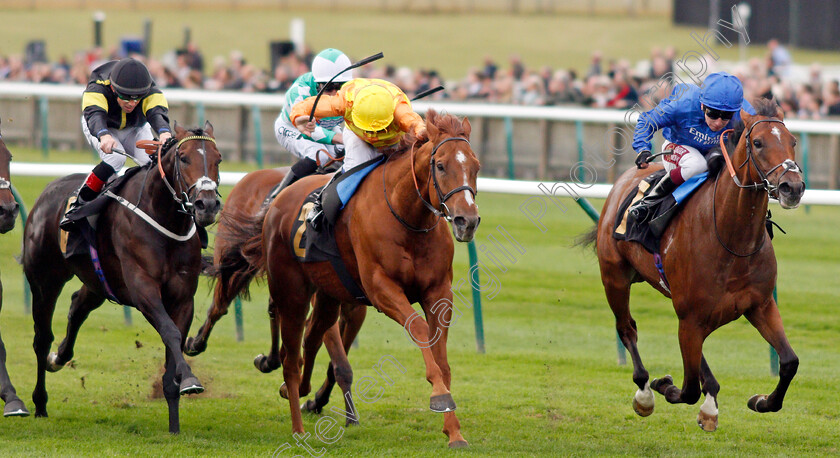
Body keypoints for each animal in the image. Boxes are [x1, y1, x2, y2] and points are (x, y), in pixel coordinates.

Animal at [24, 121, 223, 432]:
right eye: (183, 158)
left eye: (219, 159)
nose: (208, 204)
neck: (164, 218)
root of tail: (49, 189)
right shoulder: (143, 290)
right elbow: (169, 331)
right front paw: (190, 379)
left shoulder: (182, 298)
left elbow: (175, 340)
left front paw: (174, 423)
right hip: (44, 279)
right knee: (42, 337)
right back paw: (40, 401)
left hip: (98, 281)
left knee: (77, 306)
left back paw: (58, 357)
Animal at [182, 165, 366, 416]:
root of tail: (251, 176)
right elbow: (336, 358)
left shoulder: (355, 308)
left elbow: (336, 363)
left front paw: (316, 401)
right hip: (235, 254)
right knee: (221, 305)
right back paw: (196, 343)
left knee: (273, 308)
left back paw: (273, 358)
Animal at [217, 110, 480, 448]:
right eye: (441, 165)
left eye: (476, 166)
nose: (467, 221)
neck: (407, 217)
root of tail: (277, 201)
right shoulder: (381, 289)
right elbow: (419, 331)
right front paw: (439, 398)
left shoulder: (438, 292)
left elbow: (441, 356)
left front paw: (454, 430)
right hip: (293, 291)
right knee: (291, 344)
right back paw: (295, 416)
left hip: (329, 294)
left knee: (310, 337)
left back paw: (297, 389)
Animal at [588, 98, 804, 432]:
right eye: (757, 143)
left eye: (792, 141)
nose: (792, 187)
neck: (732, 240)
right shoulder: (690, 317)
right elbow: (687, 390)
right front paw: (663, 386)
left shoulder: (760, 305)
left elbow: (789, 362)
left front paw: (760, 401)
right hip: (615, 276)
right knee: (627, 328)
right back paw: (645, 393)